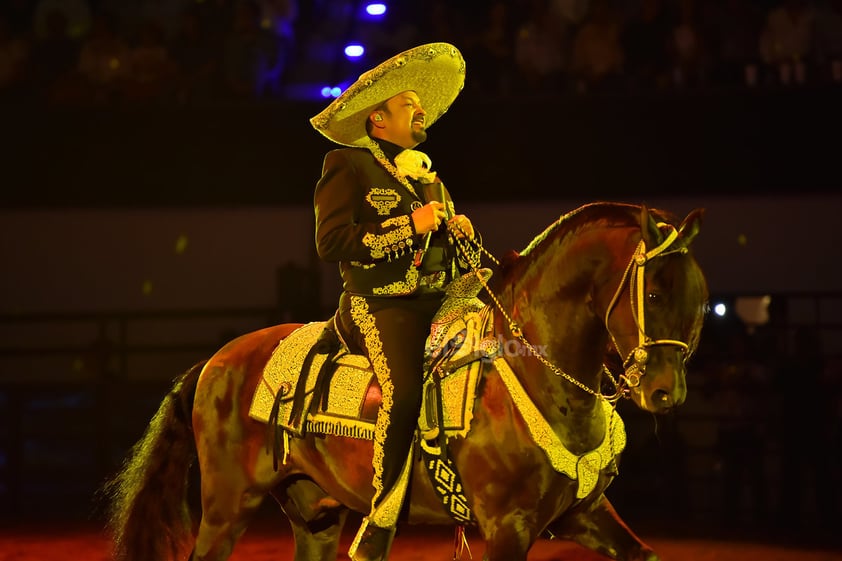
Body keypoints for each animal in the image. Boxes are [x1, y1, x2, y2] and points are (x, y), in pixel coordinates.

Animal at [105, 202, 708, 560]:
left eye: (700, 299)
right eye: (655, 293)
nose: (665, 392)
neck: (535, 376)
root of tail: (213, 364)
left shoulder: (585, 513)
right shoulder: (508, 528)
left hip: (315, 514)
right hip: (228, 508)